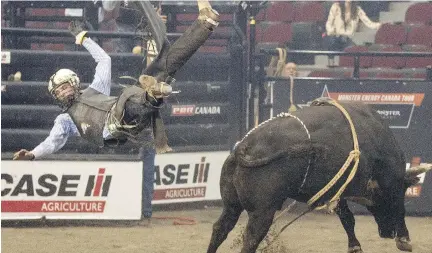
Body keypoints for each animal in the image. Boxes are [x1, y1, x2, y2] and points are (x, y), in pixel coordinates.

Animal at [207, 101, 428, 253]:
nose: (387, 233)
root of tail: (243, 148)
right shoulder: (391, 181)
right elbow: (398, 207)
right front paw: (404, 240)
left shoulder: (338, 189)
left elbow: (347, 218)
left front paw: (355, 246)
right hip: (262, 212)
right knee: (251, 239)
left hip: (232, 206)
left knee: (220, 229)